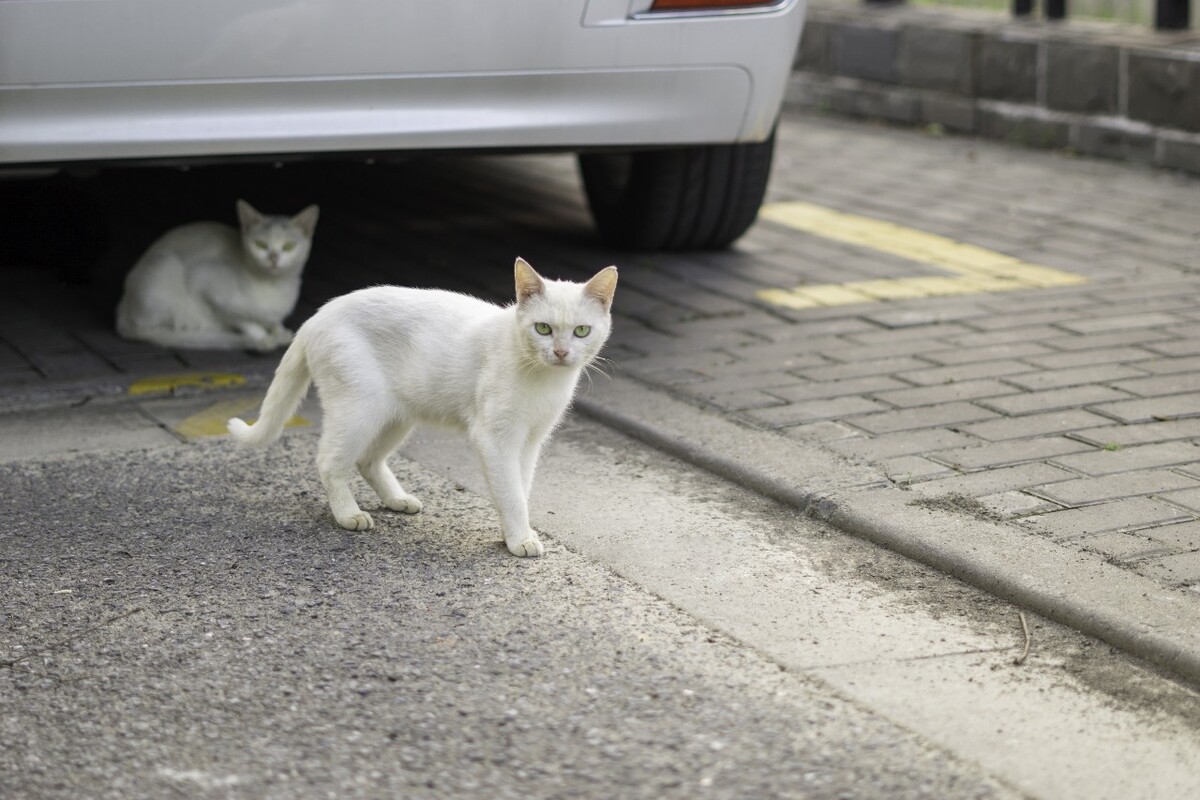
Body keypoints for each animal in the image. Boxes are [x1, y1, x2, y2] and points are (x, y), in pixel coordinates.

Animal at [226, 256, 619, 556]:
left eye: (581, 331)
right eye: (543, 328)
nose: (561, 353)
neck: (544, 379)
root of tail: (316, 316)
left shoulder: (531, 441)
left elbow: (520, 488)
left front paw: (514, 533)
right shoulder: (495, 439)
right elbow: (510, 492)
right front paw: (519, 539)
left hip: (396, 416)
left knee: (367, 460)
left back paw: (398, 500)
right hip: (360, 410)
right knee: (329, 461)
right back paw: (349, 515)